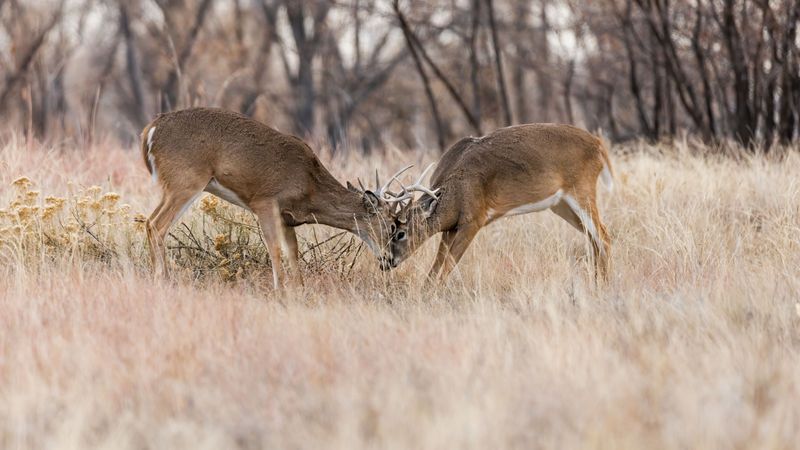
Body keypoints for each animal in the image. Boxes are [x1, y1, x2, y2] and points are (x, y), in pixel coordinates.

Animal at [140, 107, 405, 288]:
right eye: (393, 226)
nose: (389, 261)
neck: (309, 185)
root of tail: (150, 130)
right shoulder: (265, 201)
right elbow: (274, 248)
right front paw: (280, 290)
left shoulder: (287, 218)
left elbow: (292, 252)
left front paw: (299, 289)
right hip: (186, 181)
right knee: (157, 225)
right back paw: (163, 279)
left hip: (173, 186)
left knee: (149, 222)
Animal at [380, 123, 614, 283]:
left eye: (400, 233)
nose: (385, 261)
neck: (455, 189)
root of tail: (598, 145)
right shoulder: (451, 227)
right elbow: (436, 266)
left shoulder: (474, 219)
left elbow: (447, 265)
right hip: (561, 205)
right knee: (593, 239)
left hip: (581, 189)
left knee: (604, 237)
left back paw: (602, 286)